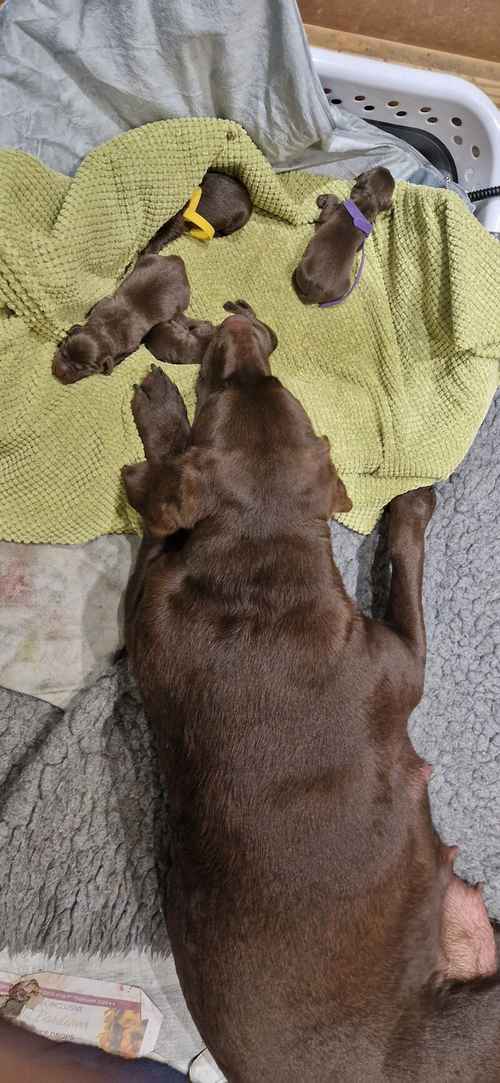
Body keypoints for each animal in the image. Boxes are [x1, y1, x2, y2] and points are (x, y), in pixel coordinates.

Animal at [53, 254, 209, 385]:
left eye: (82, 368)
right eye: (64, 351)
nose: (58, 372)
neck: (105, 329)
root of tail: (177, 261)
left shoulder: (132, 346)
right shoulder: (104, 303)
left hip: (184, 297)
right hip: (148, 259)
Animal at [122, 303, 497, 1083]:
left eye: (269, 384)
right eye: (221, 385)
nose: (239, 322)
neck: (261, 564)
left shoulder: (151, 602)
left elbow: (162, 525)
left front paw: (161, 416)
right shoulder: (403, 660)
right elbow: (404, 561)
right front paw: (409, 507)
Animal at [292, 166, 393, 307]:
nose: (387, 169)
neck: (367, 202)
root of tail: (315, 295)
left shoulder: (329, 214)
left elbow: (332, 202)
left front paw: (322, 199)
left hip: (301, 267)